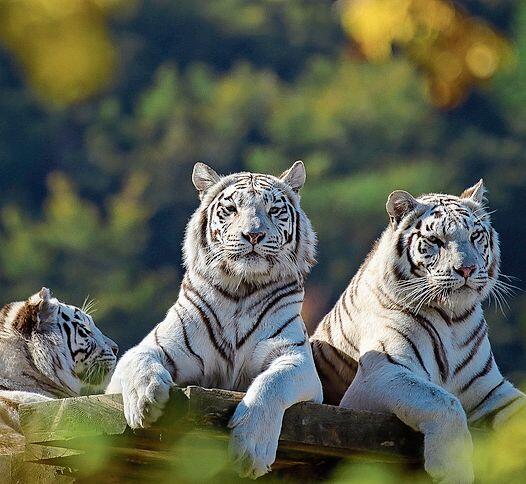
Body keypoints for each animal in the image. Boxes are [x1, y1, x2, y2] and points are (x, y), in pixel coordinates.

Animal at [106, 161, 322, 478]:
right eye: (231, 208)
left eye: (273, 210)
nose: (253, 235)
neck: (242, 290)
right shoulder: (156, 346)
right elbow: (139, 359)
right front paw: (144, 402)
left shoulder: (297, 360)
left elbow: (273, 382)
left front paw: (252, 451)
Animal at [312, 182, 524, 484]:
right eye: (435, 240)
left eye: (475, 235)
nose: (467, 269)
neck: (453, 320)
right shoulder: (379, 374)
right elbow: (443, 401)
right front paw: (453, 470)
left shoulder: (490, 389)